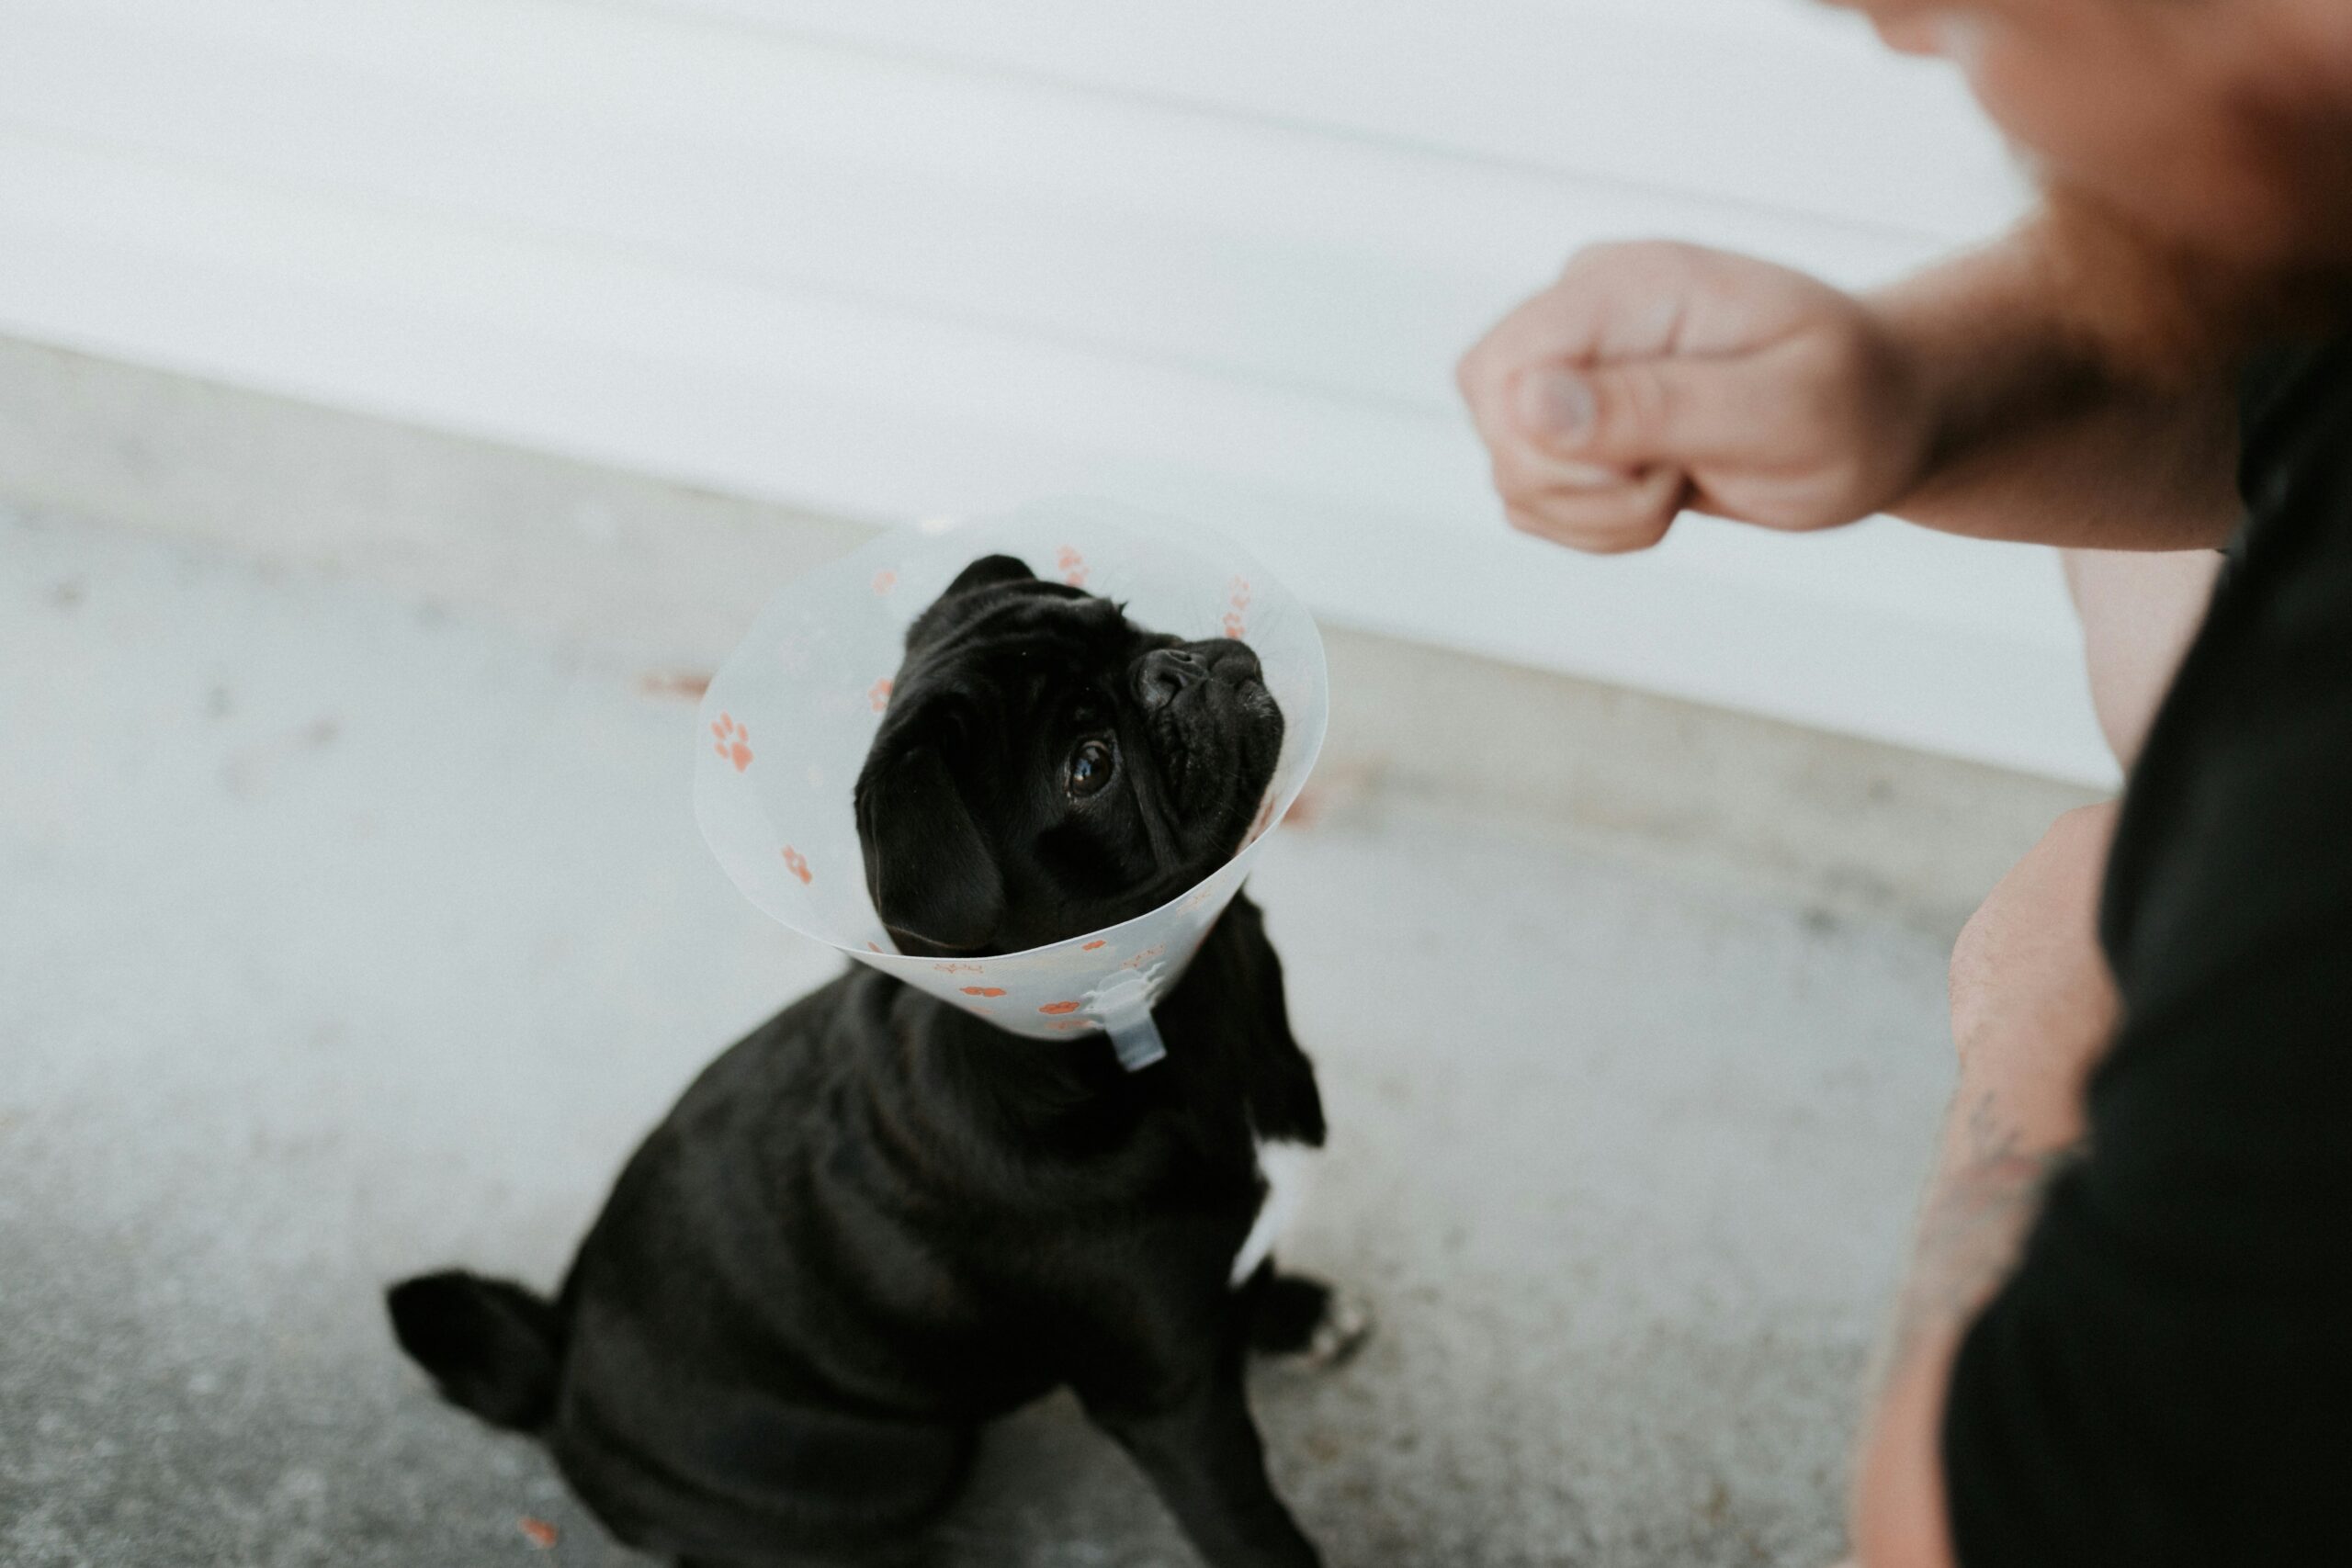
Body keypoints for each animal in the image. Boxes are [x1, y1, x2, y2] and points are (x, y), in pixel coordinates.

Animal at [390, 554, 1363, 1568]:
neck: (1156, 1003)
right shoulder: (1173, 1403)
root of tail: (561, 1376)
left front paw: (1292, 1310)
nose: (1173, 667)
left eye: (1126, 620)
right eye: (1088, 766)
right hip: (896, 1464)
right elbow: (1250, 1524)